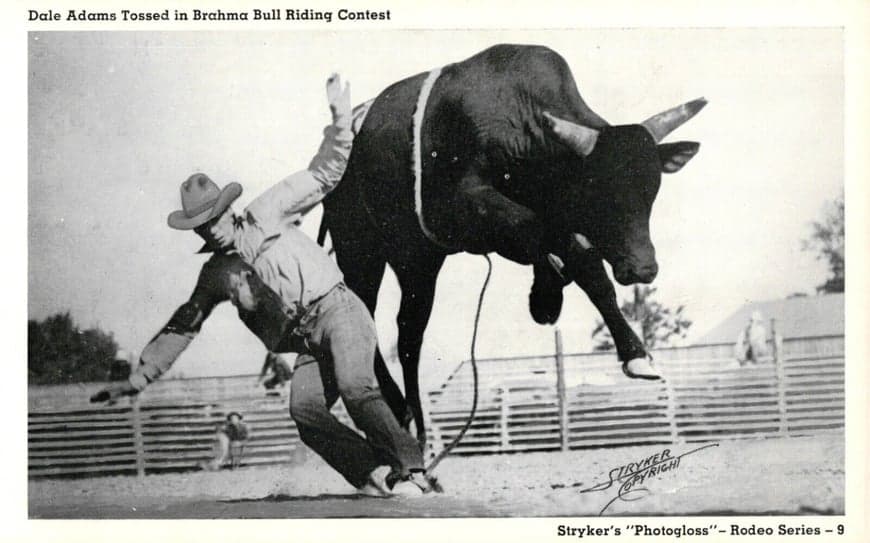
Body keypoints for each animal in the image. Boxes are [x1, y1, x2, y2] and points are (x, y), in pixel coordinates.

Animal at [316, 45, 704, 446]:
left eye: (652, 191)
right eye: (599, 189)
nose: (643, 268)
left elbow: (585, 268)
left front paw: (627, 348)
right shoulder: (468, 203)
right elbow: (549, 239)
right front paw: (550, 288)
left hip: (418, 258)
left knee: (409, 333)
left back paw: (416, 422)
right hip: (359, 248)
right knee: (366, 310)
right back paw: (397, 405)